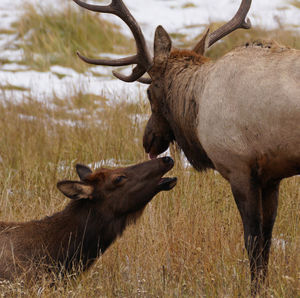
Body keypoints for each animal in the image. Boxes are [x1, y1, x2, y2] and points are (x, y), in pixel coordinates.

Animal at [72, 0, 300, 294]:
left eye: (149, 93)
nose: (147, 139)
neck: (197, 107)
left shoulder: (238, 167)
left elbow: (252, 240)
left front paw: (255, 290)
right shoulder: (271, 176)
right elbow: (268, 241)